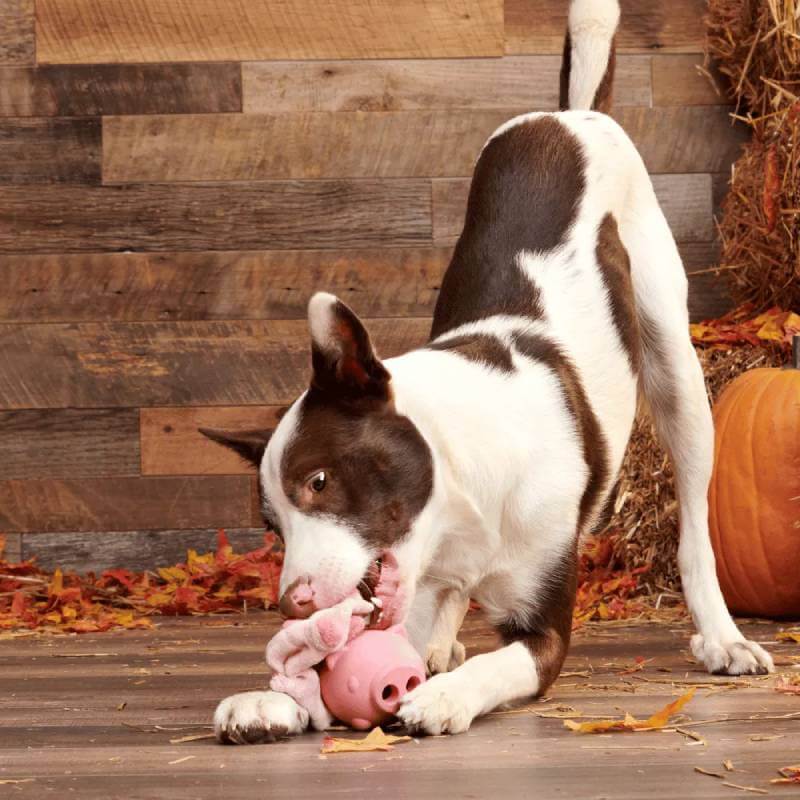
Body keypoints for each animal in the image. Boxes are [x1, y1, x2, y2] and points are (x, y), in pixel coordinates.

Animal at [206, 0, 774, 743]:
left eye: (320, 482)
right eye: (272, 526)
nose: (292, 604)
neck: (461, 493)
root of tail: (567, 115)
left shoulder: (544, 625)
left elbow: (503, 661)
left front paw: (446, 696)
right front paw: (272, 699)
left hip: (677, 370)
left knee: (695, 516)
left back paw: (722, 636)